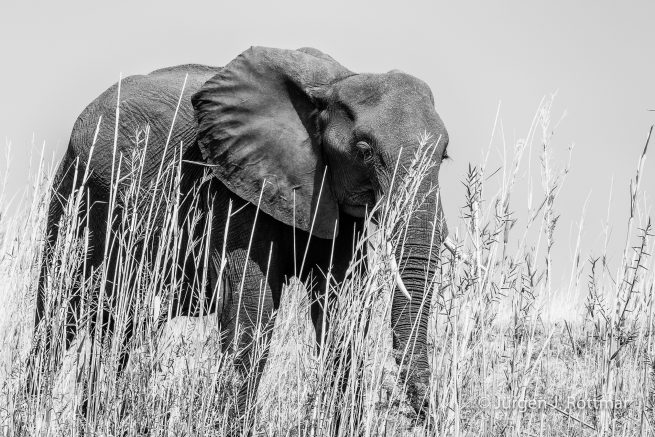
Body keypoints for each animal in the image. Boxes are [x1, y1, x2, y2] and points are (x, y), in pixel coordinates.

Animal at [31, 46, 450, 427]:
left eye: (445, 155)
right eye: (363, 151)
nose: (422, 414)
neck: (332, 85)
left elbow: (341, 311)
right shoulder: (234, 187)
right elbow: (252, 307)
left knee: (121, 328)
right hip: (73, 196)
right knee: (56, 318)